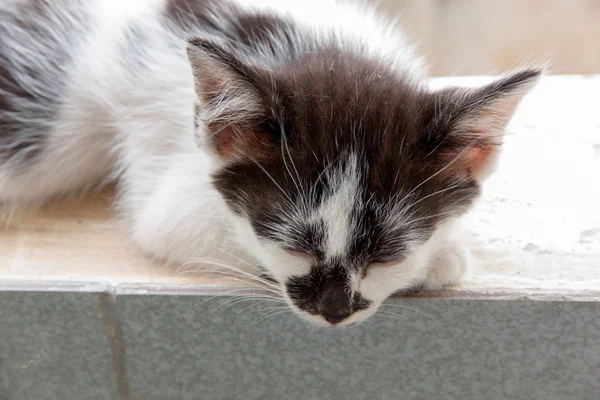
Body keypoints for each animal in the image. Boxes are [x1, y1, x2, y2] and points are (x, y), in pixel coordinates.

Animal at [0, 0, 540, 324]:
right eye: (294, 245)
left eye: (386, 254)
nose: (333, 312)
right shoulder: (168, 183)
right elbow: (184, 226)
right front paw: (440, 258)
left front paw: (438, 248)